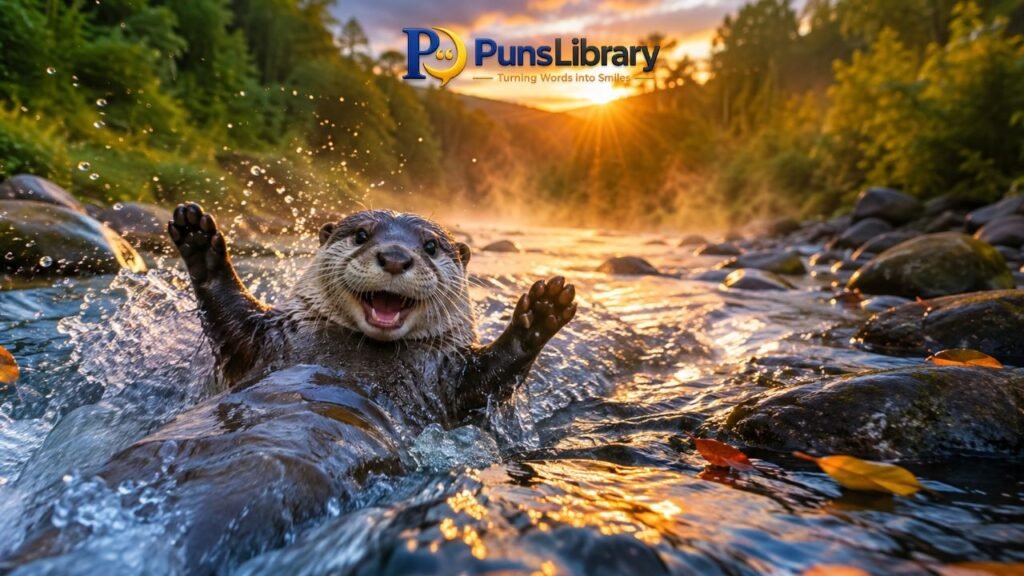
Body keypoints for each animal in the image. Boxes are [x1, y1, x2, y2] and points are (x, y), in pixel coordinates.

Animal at [2, 203, 576, 574]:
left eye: (431, 246)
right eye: (362, 234)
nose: (395, 256)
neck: (354, 352)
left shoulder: (447, 381)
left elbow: (490, 378)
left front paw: (543, 310)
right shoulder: (267, 339)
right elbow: (229, 316)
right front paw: (198, 238)